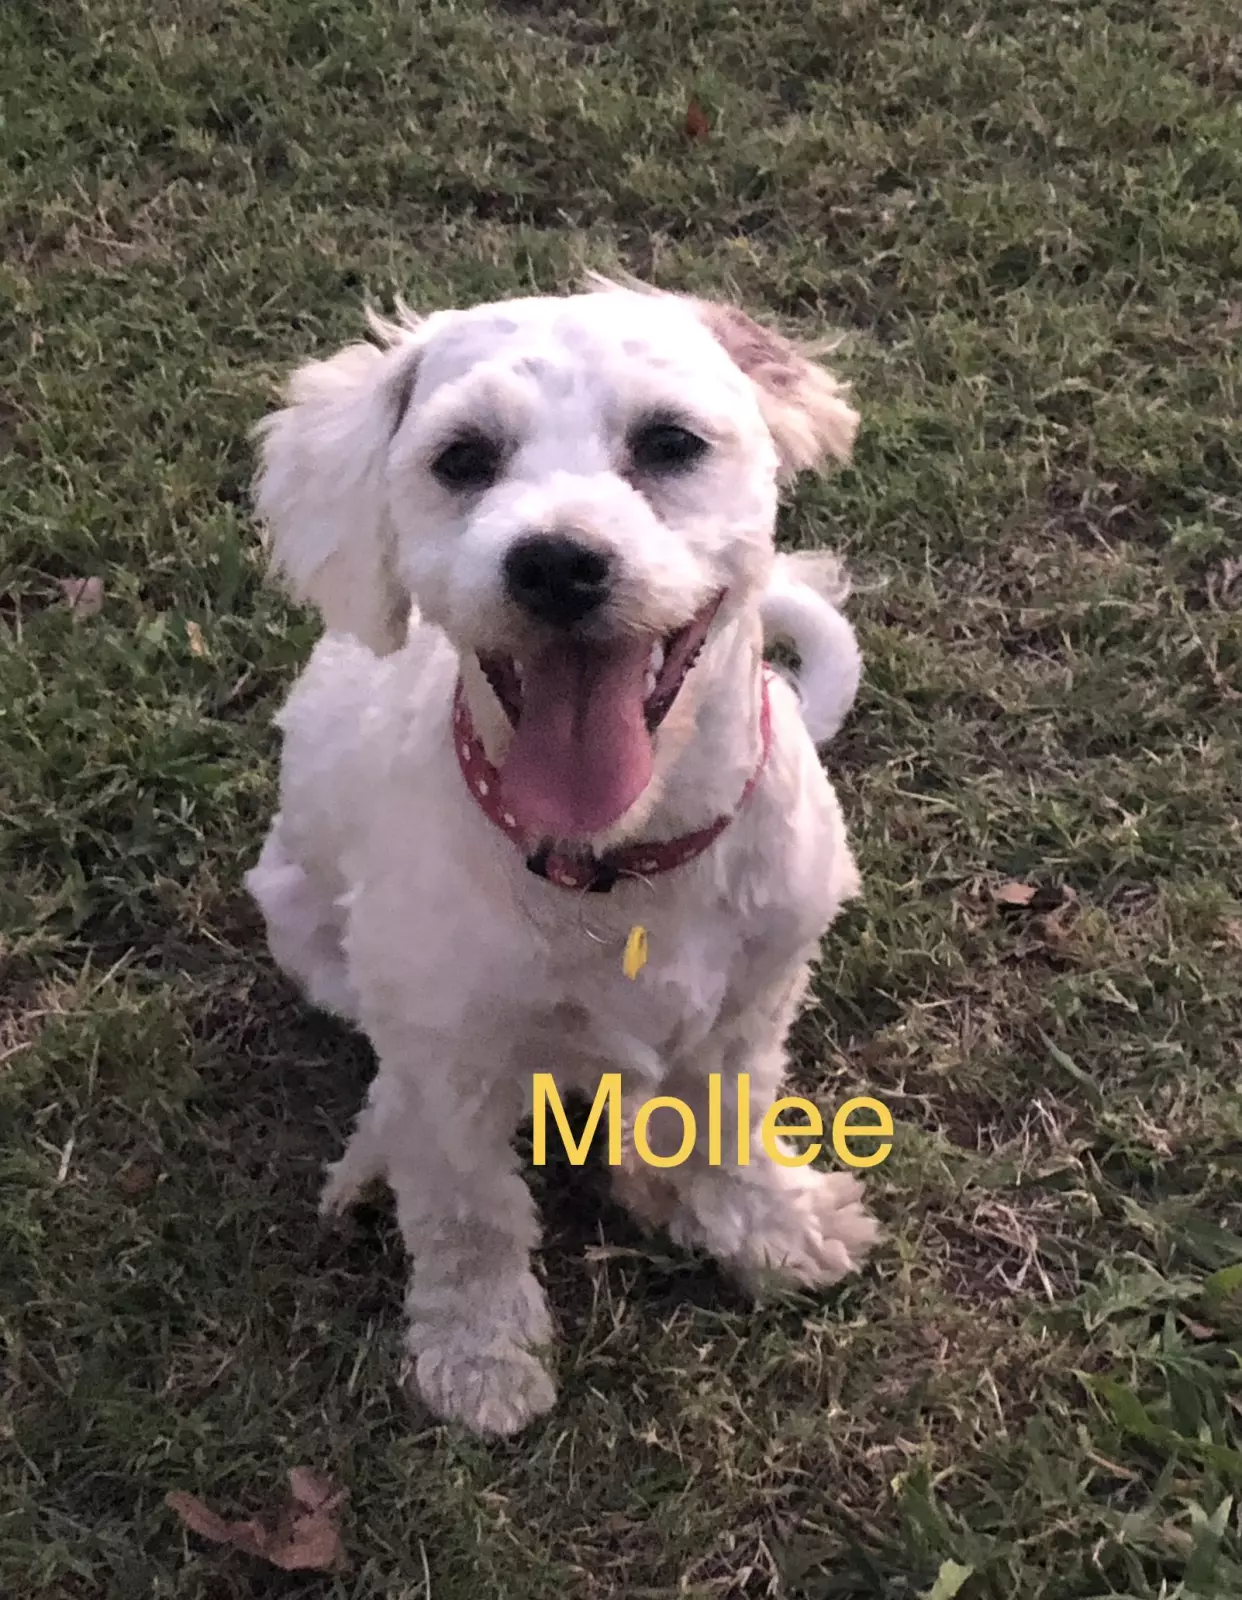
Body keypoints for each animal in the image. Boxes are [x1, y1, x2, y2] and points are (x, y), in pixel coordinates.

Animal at [245, 276, 880, 1436]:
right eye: (463, 458)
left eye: (670, 442)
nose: (555, 562)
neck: (615, 862)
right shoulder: (448, 1058)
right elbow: (468, 1213)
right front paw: (479, 1352)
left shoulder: (754, 1004)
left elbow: (728, 1122)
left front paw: (770, 1225)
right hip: (312, 931)